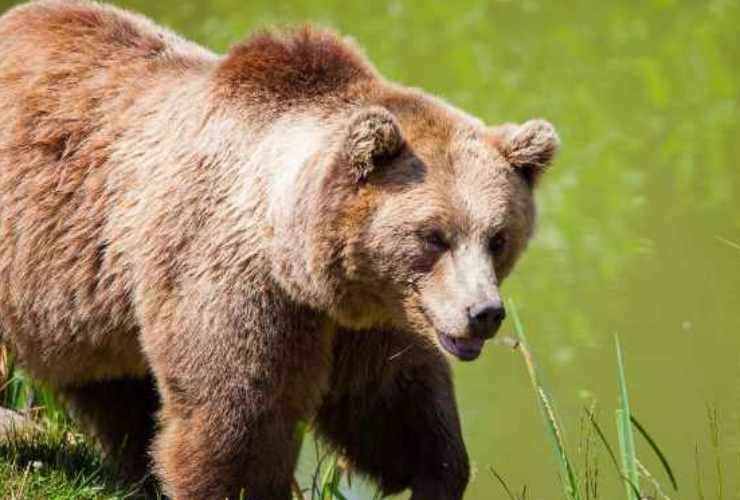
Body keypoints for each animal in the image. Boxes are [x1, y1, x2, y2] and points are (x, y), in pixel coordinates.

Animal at [0, 1, 556, 498]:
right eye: (434, 235)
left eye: (498, 237)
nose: (483, 313)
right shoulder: (233, 280)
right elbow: (239, 417)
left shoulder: (375, 318)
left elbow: (392, 401)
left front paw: (437, 473)